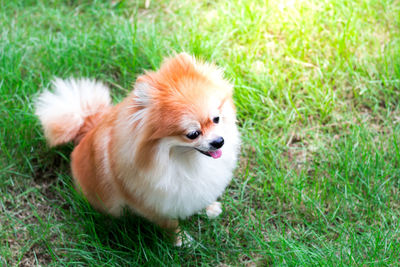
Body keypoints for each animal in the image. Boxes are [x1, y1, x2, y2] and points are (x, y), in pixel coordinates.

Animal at [34, 52, 239, 247]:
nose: (219, 141)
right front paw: (181, 241)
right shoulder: (152, 203)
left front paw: (209, 208)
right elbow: (170, 224)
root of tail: (87, 127)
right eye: (193, 134)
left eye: (216, 119)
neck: (179, 159)